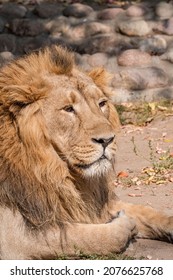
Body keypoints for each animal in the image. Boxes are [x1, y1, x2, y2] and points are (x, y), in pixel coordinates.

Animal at [0, 44, 173, 260]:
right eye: (68, 109)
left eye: (101, 103)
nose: (107, 140)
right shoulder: (16, 239)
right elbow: (99, 236)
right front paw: (125, 224)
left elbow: (147, 211)